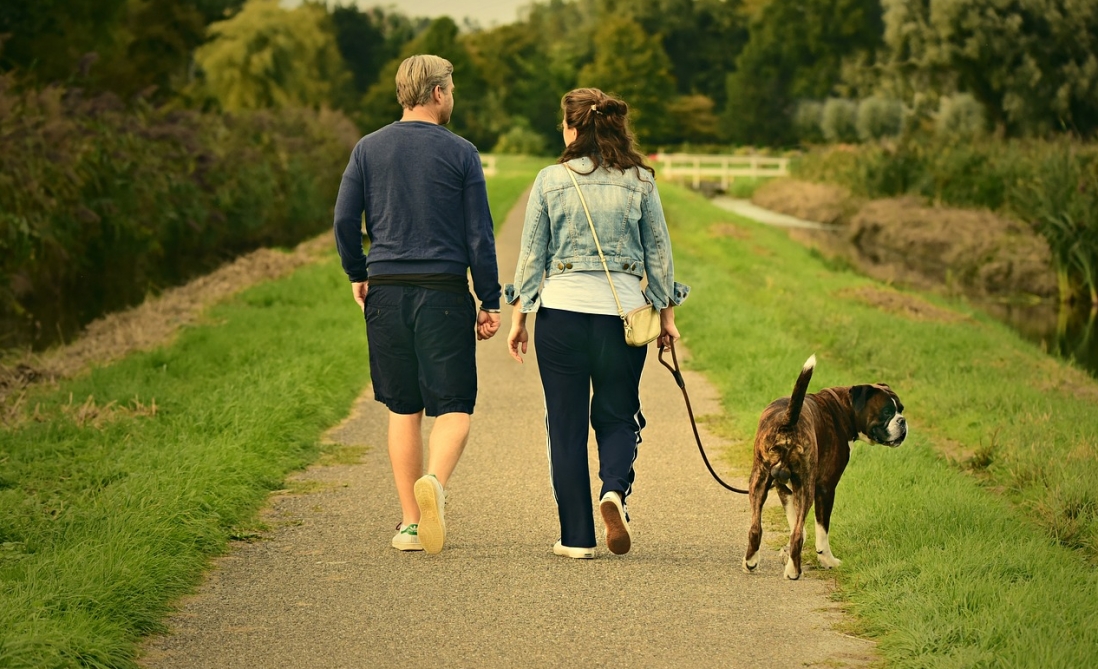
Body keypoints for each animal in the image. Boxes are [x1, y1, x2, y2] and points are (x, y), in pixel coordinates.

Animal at [742, 355, 904, 580]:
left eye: (901, 409)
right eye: (887, 412)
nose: (903, 421)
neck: (844, 408)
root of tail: (787, 423)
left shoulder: (783, 487)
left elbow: (796, 523)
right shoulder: (825, 488)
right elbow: (820, 531)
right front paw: (827, 560)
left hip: (759, 481)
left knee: (756, 528)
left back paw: (751, 562)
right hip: (806, 486)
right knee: (797, 535)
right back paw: (794, 572)